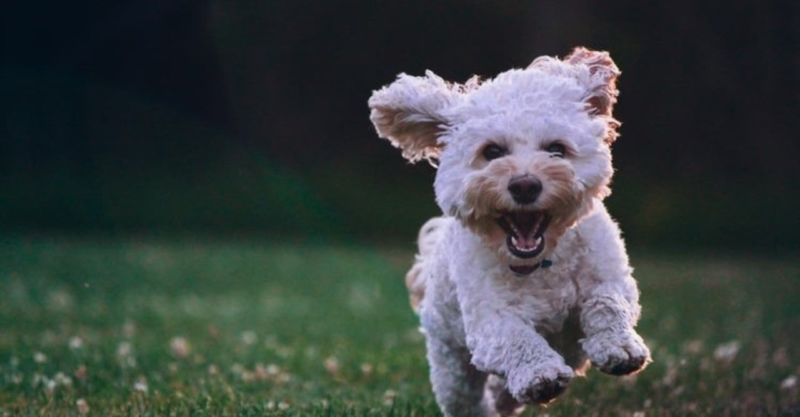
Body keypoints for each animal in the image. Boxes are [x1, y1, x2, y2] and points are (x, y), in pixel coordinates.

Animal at [368, 47, 648, 414]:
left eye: (556, 149)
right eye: (492, 151)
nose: (525, 185)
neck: (541, 262)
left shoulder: (609, 276)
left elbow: (608, 303)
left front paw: (619, 347)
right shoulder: (489, 321)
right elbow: (516, 338)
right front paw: (540, 374)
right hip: (450, 361)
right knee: (465, 397)